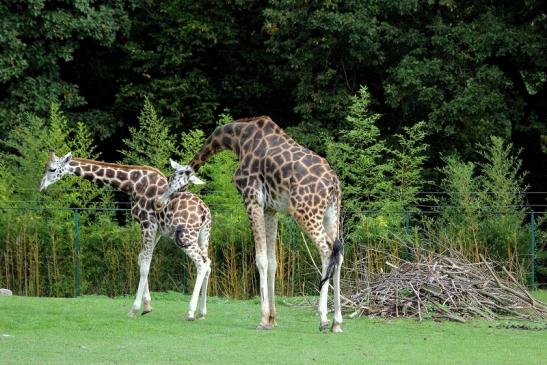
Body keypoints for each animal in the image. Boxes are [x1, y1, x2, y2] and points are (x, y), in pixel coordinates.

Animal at [38, 151, 213, 318]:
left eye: (52, 169)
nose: (41, 186)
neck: (133, 184)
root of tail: (205, 213)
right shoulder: (157, 230)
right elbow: (141, 258)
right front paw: (147, 306)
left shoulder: (147, 223)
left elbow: (145, 265)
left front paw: (134, 309)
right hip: (203, 236)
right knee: (209, 263)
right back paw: (202, 312)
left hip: (186, 236)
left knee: (201, 263)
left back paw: (190, 312)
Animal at [156, 115, 344, 332]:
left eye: (171, 178)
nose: (159, 201)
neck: (238, 140)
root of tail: (334, 183)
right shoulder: (270, 208)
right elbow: (272, 261)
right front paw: (272, 319)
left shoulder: (251, 198)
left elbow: (260, 259)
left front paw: (263, 320)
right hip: (331, 213)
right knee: (339, 254)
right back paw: (337, 322)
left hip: (305, 211)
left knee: (326, 251)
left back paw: (323, 319)